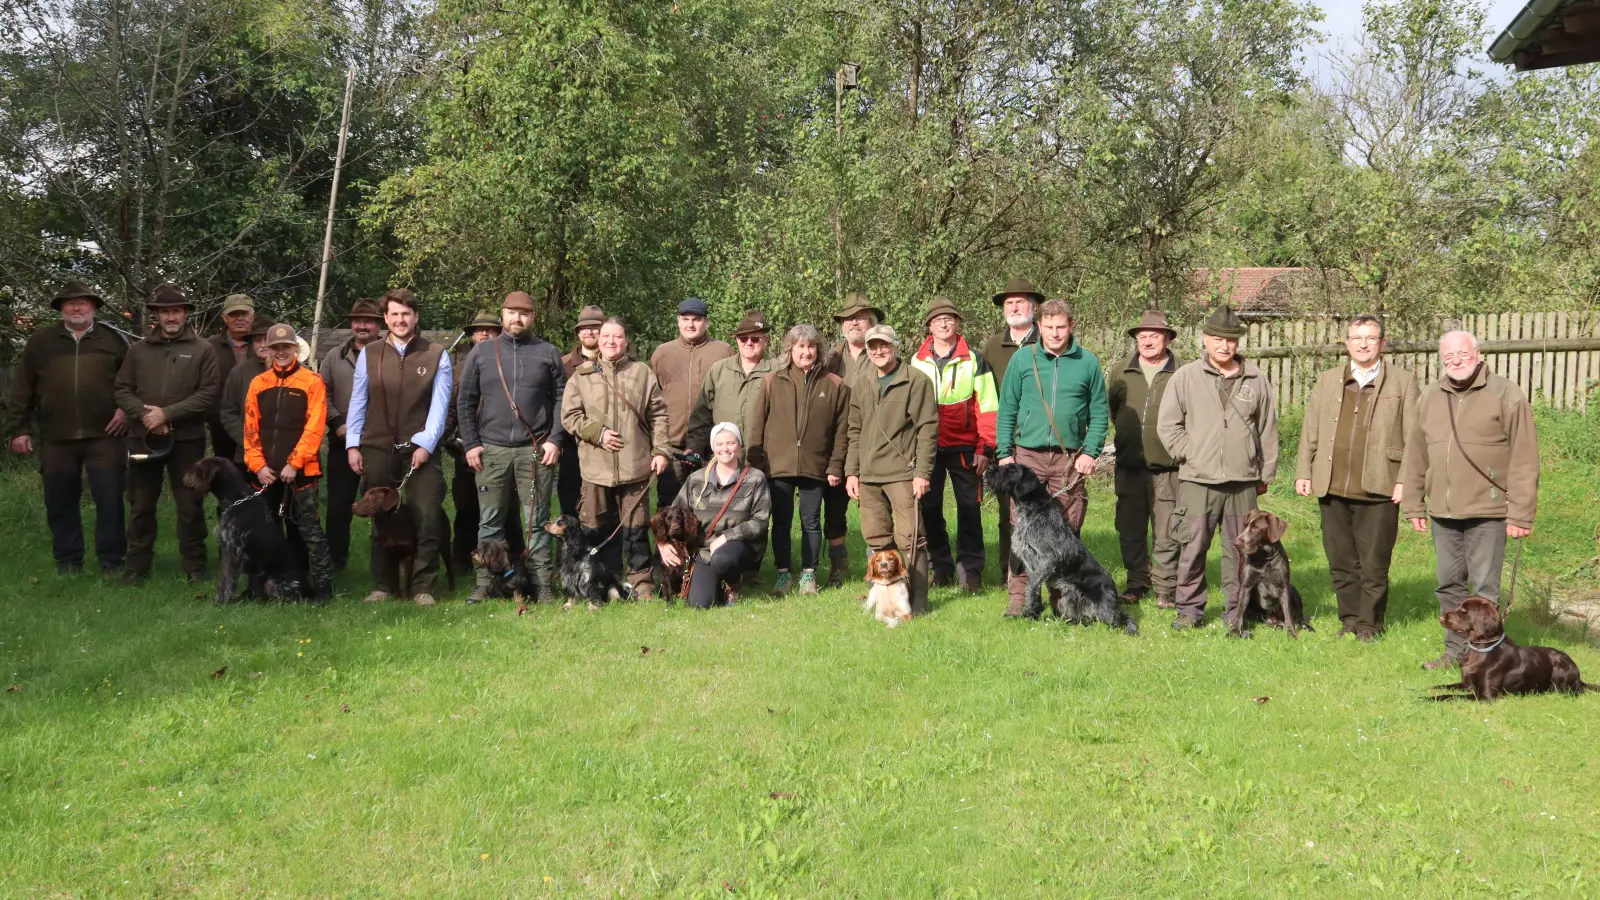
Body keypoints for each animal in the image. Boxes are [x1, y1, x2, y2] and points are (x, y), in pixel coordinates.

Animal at [183, 454, 320, 602]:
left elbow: (227, 577)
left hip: (274, 582)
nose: (185, 477)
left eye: (198, 467)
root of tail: (312, 592)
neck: (236, 498)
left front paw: (222, 600)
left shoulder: (232, 550)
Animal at [972, 461, 1139, 630]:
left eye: (1012, 470)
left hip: (1103, 608)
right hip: (1069, 596)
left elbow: (1030, 587)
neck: (1034, 510)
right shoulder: (1032, 564)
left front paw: (1028, 613)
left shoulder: (1049, 559)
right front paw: (1034, 613)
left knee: (1122, 619)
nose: (989, 468)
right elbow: (1034, 589)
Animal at [1222, 506, 1312, 637]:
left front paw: (1292, 633)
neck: (1264, 557)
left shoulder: (1283, 587)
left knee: (1299, 618)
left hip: (1292, 589)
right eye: (1245, 526)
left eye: (1255, 528)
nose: (1236, 543)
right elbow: (1239, 613)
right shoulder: (1245, 586)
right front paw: (1234, 631)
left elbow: (1288, 614)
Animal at [1433, 595, 1593, 701]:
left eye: (1464, 611)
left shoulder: (1485, 696)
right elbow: (1444, 686)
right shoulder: (1466, 683)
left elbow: (1450, 696)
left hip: (1561, 670)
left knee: (1574, 692)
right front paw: (1428, 688)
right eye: (1459, 606)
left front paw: (1429, 698)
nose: (1440, 618)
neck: (1481, 650)